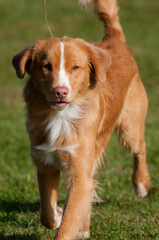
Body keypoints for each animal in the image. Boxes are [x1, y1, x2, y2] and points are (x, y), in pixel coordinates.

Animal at [12, 0, 150, 240]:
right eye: (46, 66)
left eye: (75, 67)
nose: (60, 92)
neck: (60, 117)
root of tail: (114, 39)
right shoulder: (45, 164)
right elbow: (47, 215)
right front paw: (58, 214)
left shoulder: (78, 171)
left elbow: (67, 223)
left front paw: (66, 223)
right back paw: (84, 227)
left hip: (130, 129)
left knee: (140, 148)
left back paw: (141, 184)